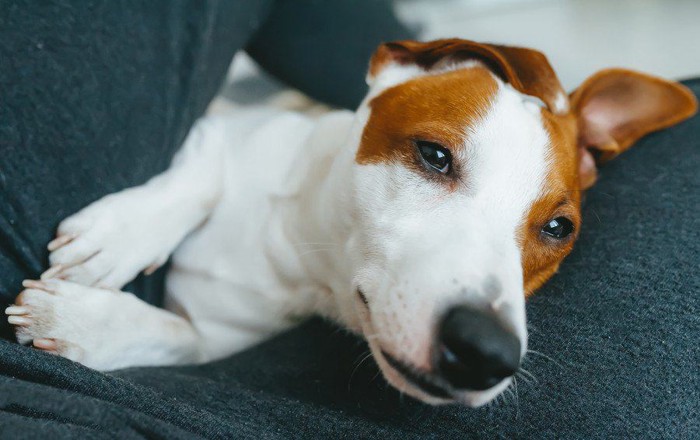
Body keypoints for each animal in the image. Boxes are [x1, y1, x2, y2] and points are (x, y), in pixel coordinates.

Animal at [8, 39, 696, 408]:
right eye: (434, 155)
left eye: (559, 229)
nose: (486, 352)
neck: (302, 247)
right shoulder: (226, 124)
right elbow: (199, 177)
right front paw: (118, 237)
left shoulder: (206, 337)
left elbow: (172, 336)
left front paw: (82, 323)